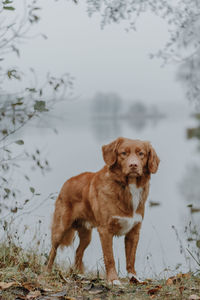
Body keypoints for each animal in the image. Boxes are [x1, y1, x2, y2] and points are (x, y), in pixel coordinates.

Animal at [46, 137, 159, 284]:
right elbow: (109, 257)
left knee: (78, 251)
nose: (133, 165)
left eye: (141, 154)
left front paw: (133, 277)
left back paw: (78, 274)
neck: (127, 187)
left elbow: (131, 258)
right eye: (123, 153)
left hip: (86, 235)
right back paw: (48, 272)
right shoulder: (105, 230)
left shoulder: (134, 231)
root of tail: (67, 182)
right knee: (53, 251)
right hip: (61, 228)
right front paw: (113, 280)